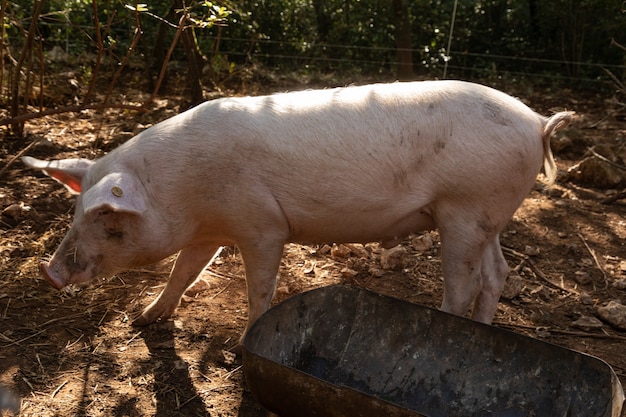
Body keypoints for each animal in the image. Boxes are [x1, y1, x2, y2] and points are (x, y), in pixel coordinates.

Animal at [23, 79, 572, 336]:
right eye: (77, 212)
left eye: (105, 217)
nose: (48, 273)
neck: (182, 189)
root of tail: (537, 121)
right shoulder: (209, 229)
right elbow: (182, 272)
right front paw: (142, 320)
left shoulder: (262, 226)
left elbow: (259, 289)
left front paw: (245, 342)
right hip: (487, 216)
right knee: (497, 273)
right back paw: (482, 329)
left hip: (464, 208)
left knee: (465, 282)